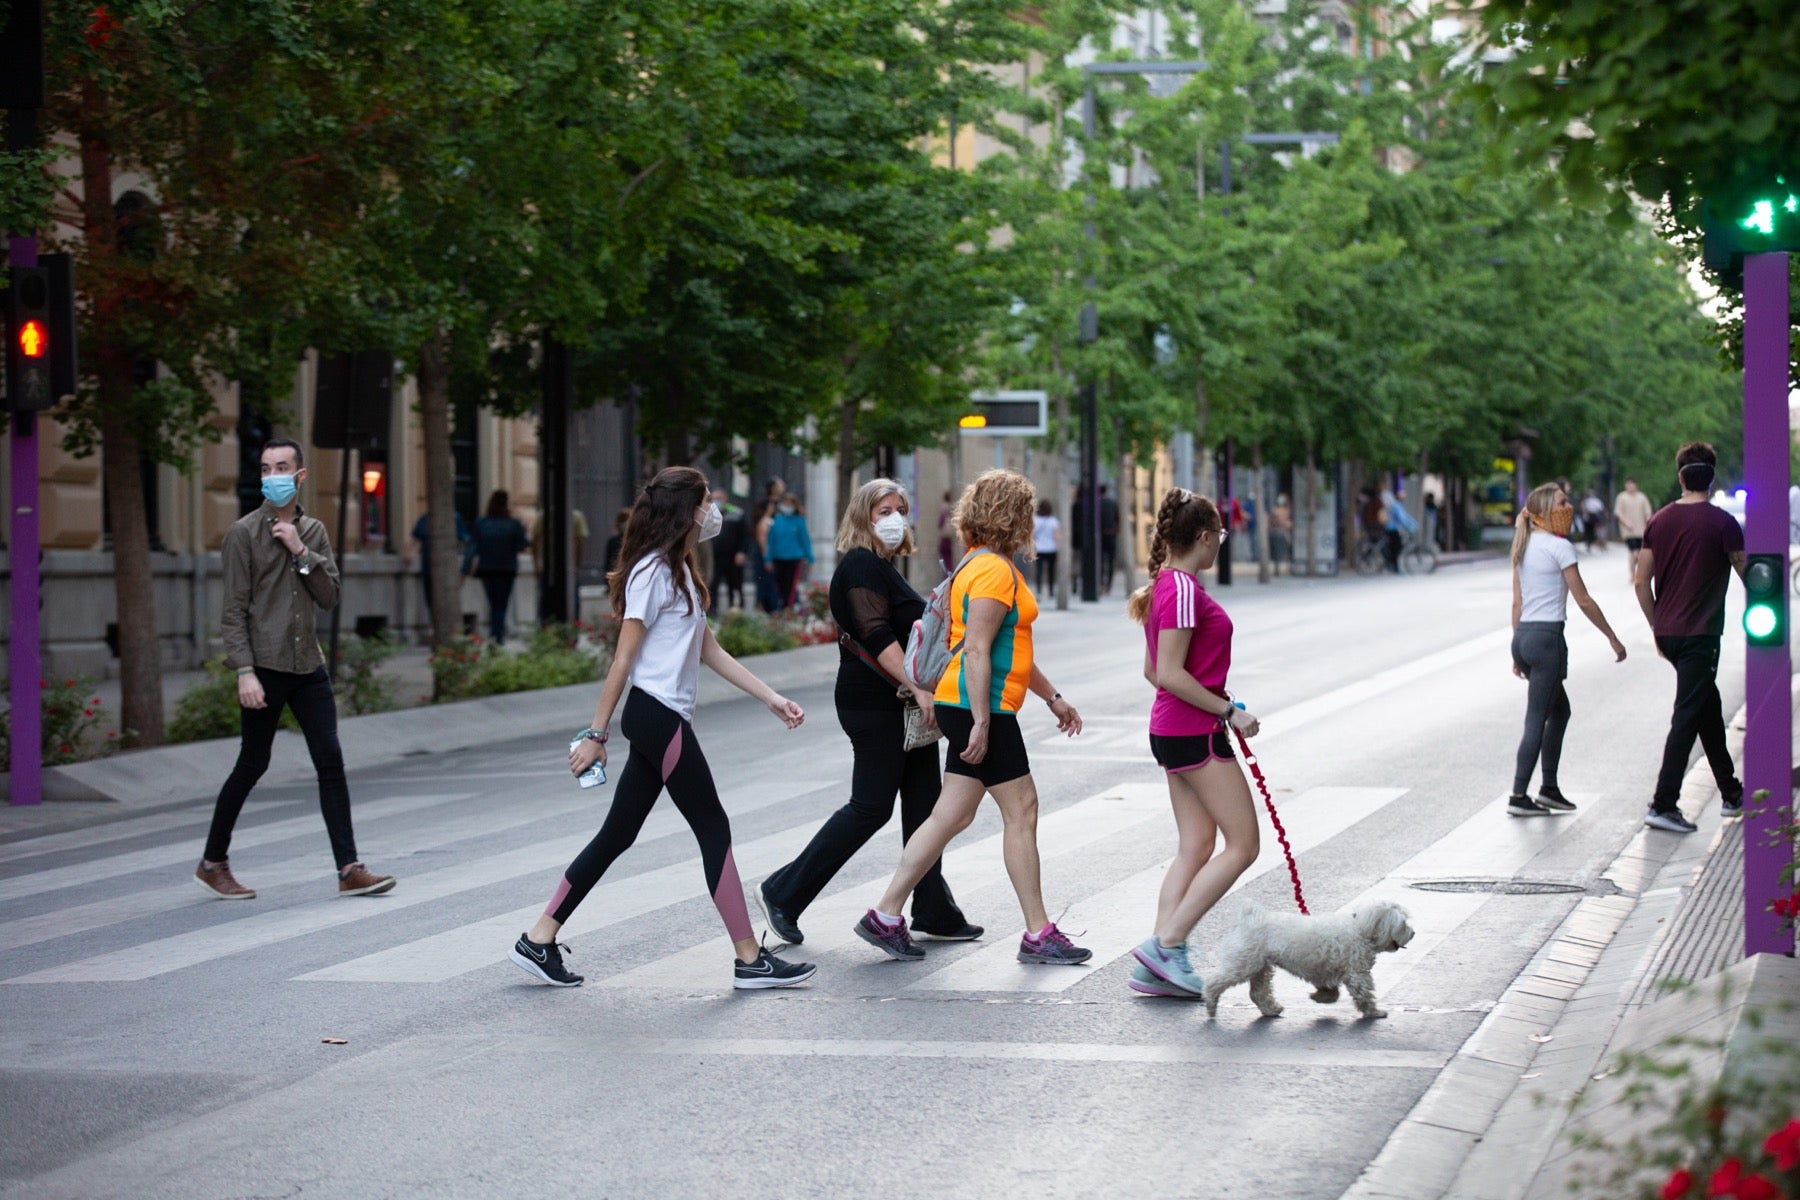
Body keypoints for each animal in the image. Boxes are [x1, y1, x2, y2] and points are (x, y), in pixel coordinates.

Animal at [1202, 906, 1411, 1021]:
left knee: (1258, 992)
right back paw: (1210, 1002)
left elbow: (1329, 989)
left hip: (1260, 966)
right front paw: (1374, 1012)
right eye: (1403, 924)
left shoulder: (1327, 971)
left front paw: (1321, 996)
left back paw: (1271, 1009)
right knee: (1216, 981)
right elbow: (1364, 994)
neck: (1361, 929)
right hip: (1243, 963)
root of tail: (1249, 919)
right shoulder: (1357, 973)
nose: (1413, 933)